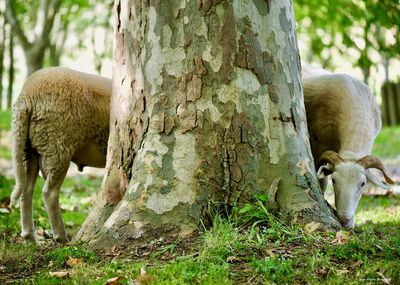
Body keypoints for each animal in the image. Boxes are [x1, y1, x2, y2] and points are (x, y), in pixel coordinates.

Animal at [11, 66, 111, 242]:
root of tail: (27, 95)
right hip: (58, 146)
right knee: (49, 193)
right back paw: (62, 238)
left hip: (30, 148)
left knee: (26, 190)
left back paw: (30, 236)